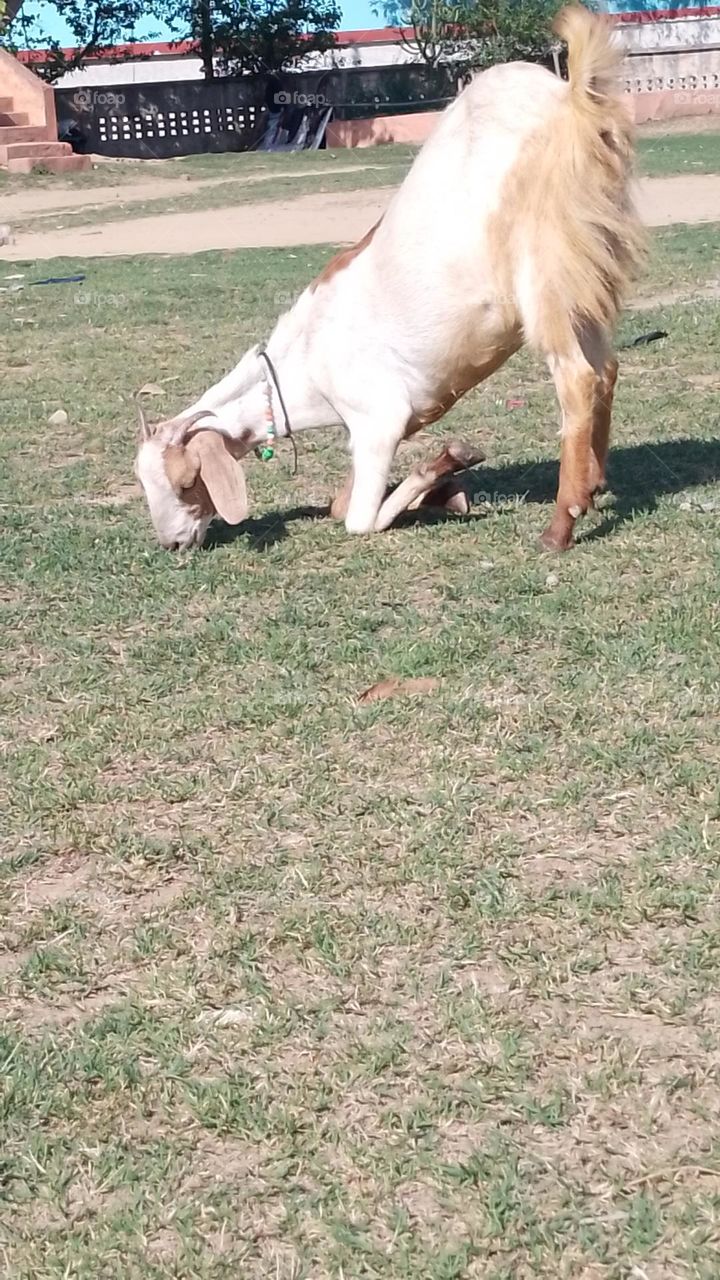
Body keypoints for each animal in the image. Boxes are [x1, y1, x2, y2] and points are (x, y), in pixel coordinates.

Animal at [135, 5, 643, 552]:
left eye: (187, 480)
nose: (172, 543)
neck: (306, 361)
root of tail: (569, 100)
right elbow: (340, 505)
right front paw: (446, 491)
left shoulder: (379, 419)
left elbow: (357, 519)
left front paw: (444, 468)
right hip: (588, 266)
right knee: (606, 367)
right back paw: (594, 485)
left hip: (542, 270)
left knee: (576, 377)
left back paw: (560, 524)